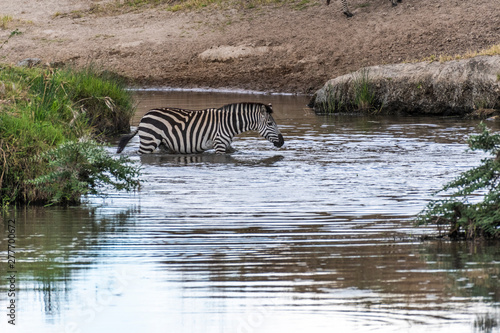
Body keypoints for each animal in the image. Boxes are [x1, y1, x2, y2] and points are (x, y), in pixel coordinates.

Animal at [114, 102, 284, 154]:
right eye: (270, 124)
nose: (282, 142)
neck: (229, 124)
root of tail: (144, 117)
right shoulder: (220, 144)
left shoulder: (227, 145)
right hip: (148, 142)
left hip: (163, 144)